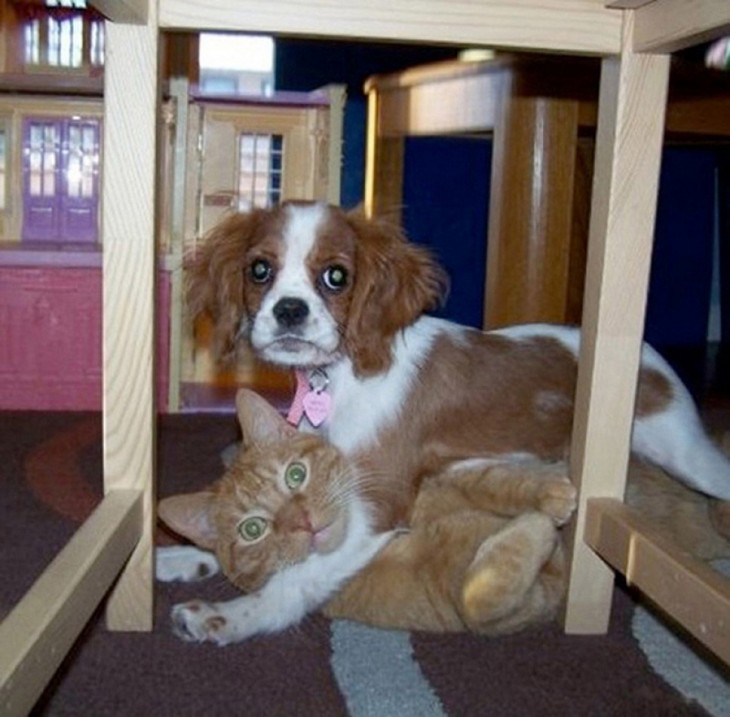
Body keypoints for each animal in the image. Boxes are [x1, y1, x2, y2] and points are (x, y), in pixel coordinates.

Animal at [183, 201, 730, 516]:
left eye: (336, 277)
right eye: (259, 270)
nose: (290, 309)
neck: (339, 377)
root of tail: (645, 356)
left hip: (686, 452)